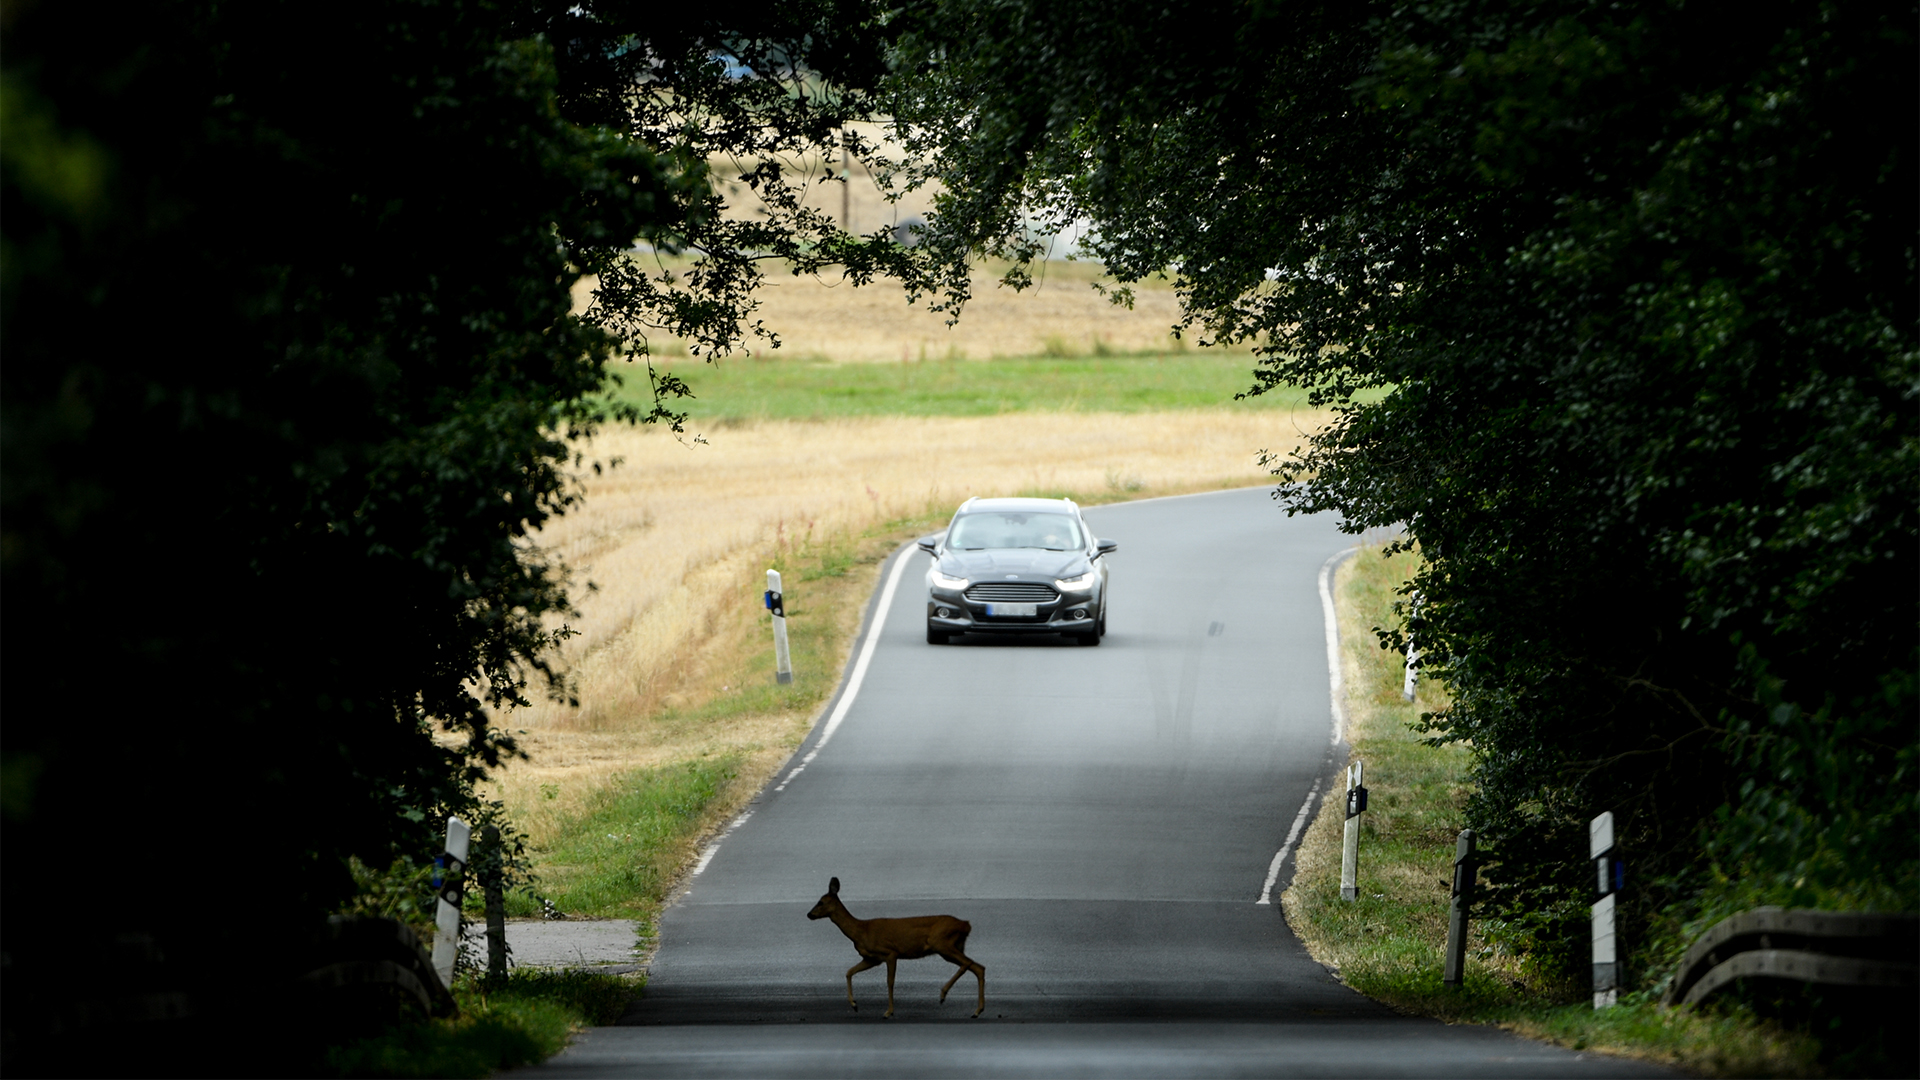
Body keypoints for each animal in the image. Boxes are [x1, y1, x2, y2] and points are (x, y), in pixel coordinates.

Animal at [806, 868, 990, 1014]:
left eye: (821, 902)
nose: (809, 914)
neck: (861, 930)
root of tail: (966, 924)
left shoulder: (890, 952)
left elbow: (890, 982)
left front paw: (888, 1012)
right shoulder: (872, 958)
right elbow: (849, 972)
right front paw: (854, 1004)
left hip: (942, 943)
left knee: (967, 963)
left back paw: (943, 994)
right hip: (952, 947)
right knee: (978, 967)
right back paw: (977, 1010)